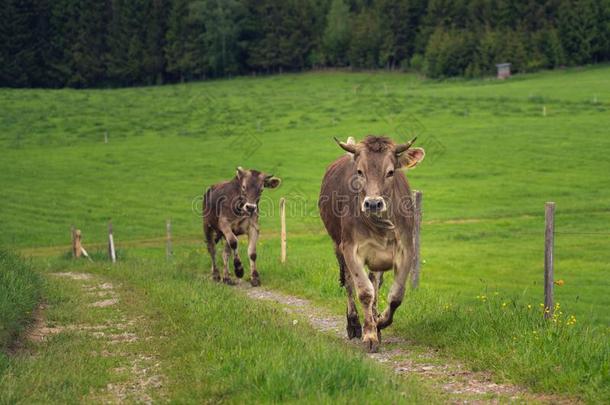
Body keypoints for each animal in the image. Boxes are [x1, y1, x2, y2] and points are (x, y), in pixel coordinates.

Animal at [318, 135, 422, 350]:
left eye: (390, 172)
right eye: (360, 171)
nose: (373, 203)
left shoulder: (406, 249)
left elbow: (395, 296)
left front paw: (379, 322)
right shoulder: (350, 249)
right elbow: (365, 292)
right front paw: (369, 335)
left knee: (375, 281)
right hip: (338, 247)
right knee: (349, 283)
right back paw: (354, 324)